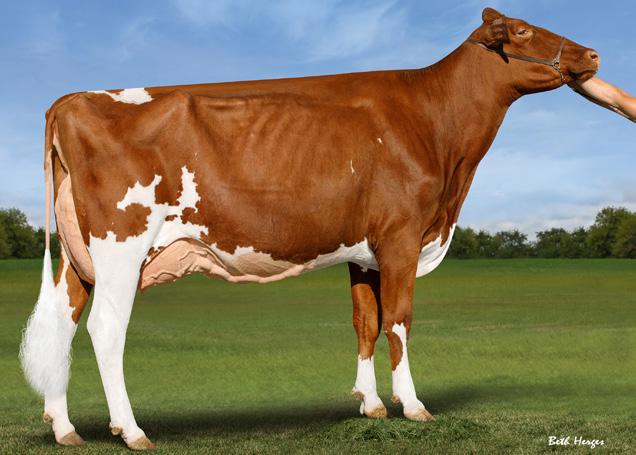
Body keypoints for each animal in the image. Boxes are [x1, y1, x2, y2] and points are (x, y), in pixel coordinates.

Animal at [20, 7, 600, 450]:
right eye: (521, 31)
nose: (592, 55)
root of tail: (73, 98)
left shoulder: (365, 252)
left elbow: (366, 323)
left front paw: (371, 404)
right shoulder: (401, 237)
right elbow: (400, 321)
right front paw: (412, 405)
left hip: (79, 257)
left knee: (65, 323)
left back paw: (66, 429)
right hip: (120, 245)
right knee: (105, 329)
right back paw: (132, 430)